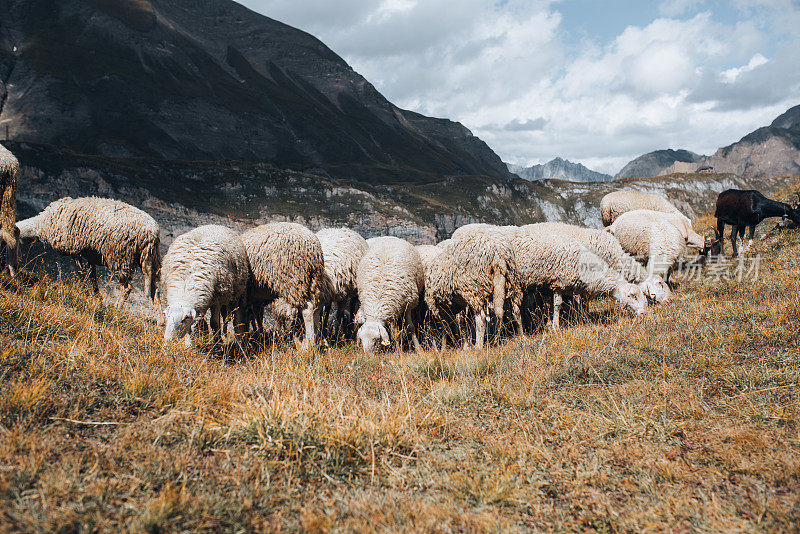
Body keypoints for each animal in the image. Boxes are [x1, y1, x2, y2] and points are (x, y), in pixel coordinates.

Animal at [17, 197, 161, 308]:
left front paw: (85, 293)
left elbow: (82, 275)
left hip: (120, 257)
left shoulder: (74, 250)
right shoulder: (90, 257)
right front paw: (98, 299)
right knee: (155, 290)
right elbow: (93, 278)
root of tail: (151, 234)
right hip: (151, 260)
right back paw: (160, 322)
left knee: (127, 288)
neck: (41, 225)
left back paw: (116, 309)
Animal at [241, 223, 324, 352]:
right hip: (313, 280)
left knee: (308, 310)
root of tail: (312, 246)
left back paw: (307, 345)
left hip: (295, 278)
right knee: (316, 308)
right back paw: (312, 340)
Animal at [510, 230, 648, 330]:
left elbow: (581, 304)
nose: (643, 314)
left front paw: (583, 319)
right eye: (632, 296)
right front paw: (556, 327)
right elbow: (558, 305)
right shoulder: (560, 282)